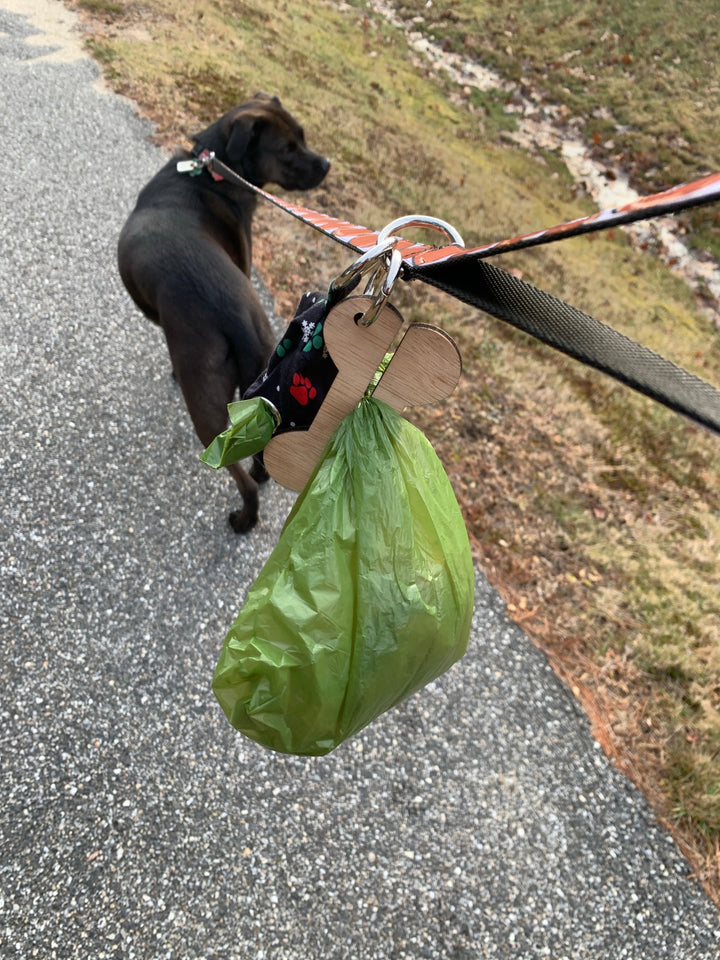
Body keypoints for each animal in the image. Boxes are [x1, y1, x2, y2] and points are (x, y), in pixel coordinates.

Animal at [117, 95, 330, 532]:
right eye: (290, 146)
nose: (327, 164)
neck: (208, 172)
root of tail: (235, 317)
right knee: (259, 456)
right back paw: (261, 479)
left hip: (206, 408)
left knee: (237, 475)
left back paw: (244, 519)